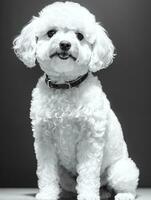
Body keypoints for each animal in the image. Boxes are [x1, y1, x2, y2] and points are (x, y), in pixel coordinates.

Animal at [13, 1, 139, 200]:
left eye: (79, 36)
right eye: (51, 33)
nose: (65, 44)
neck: (65, 86)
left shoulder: (90, 140)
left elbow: (88, 174)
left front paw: (87, 196)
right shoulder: (44, 141)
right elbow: (46, 173)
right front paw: (47, 194)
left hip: (121, 170)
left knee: (125, 186)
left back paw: (122, 195)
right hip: (64, 175)